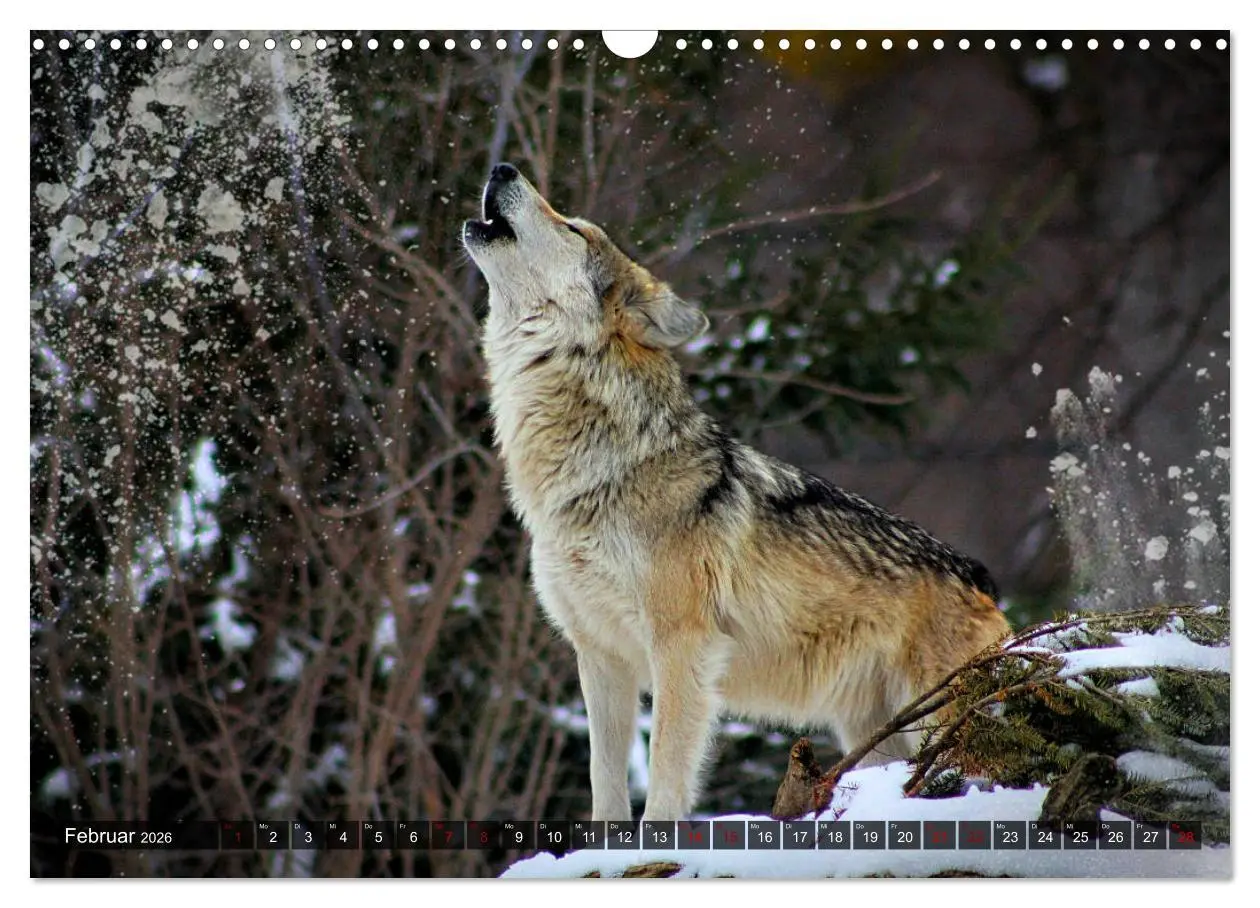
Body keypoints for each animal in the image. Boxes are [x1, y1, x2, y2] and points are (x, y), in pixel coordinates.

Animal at [462, 163, 1010, 822]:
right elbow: (605, 784)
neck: (597, 468)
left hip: (936, 723)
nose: (502, 168)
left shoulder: (682, 648)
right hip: (873, 736)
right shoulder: (599, 656)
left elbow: (666, 779)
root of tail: (981, 578)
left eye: (573, 227)